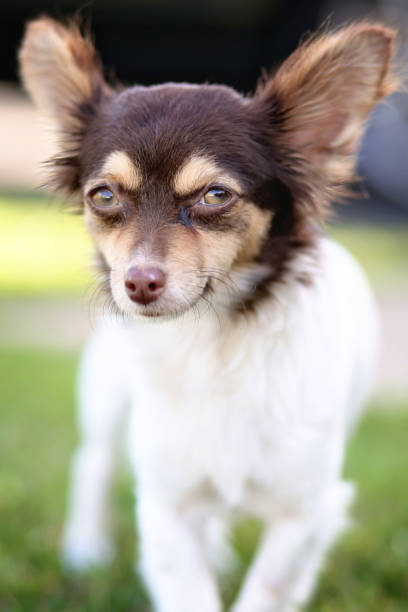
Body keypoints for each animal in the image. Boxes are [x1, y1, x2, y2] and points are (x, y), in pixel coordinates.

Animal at [19, 17, 398, 612]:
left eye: (216, 196)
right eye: (103, 196)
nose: (138, 283)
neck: (213, 341)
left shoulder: (306, 512)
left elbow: (263, 593)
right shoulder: (165, 505)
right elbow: (187, 591)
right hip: (108, 390)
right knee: (94, 459)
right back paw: (86, 550)